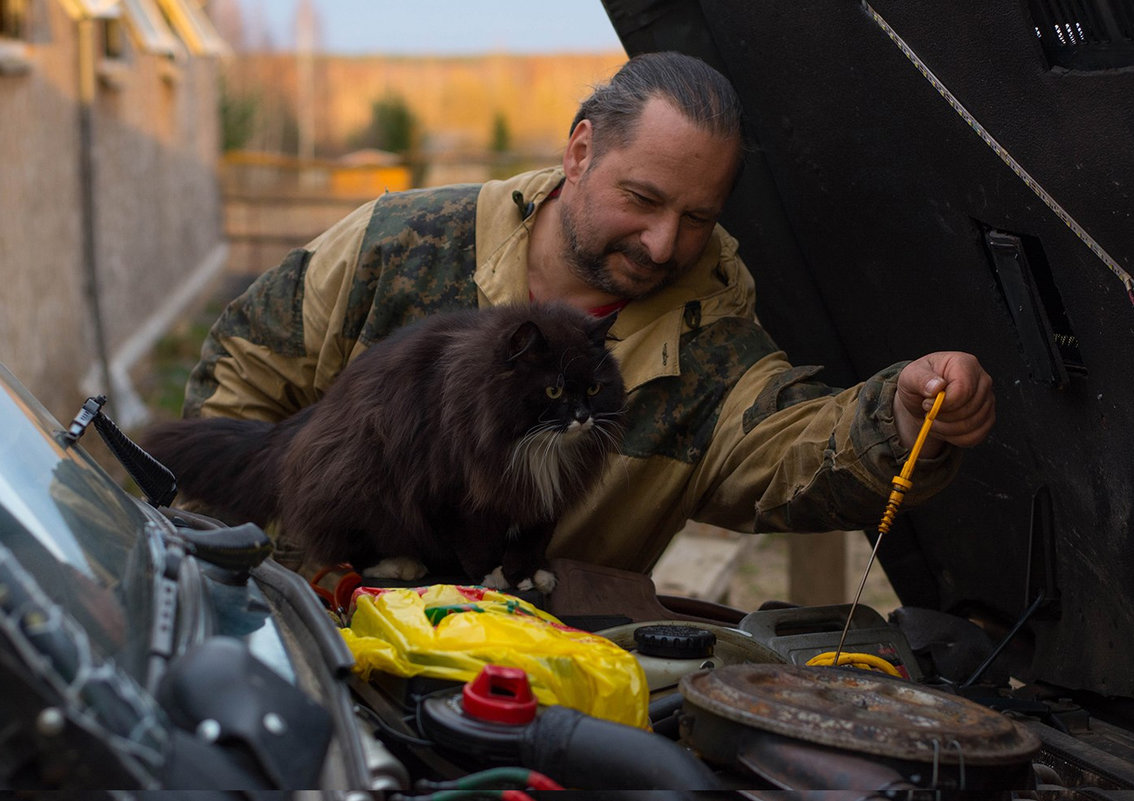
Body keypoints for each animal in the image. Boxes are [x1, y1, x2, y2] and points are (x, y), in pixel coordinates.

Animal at [139, 301, 630, 589]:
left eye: (593, 388)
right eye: (553, 390)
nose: (582, 417)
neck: (537, 450)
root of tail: (308, 420)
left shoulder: (546, 498)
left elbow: (532, 539)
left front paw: (529, 575)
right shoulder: (449, 491)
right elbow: (475, 545)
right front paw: (495, 577)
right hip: (358, 478)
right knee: (349, 552)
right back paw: (401, 565)